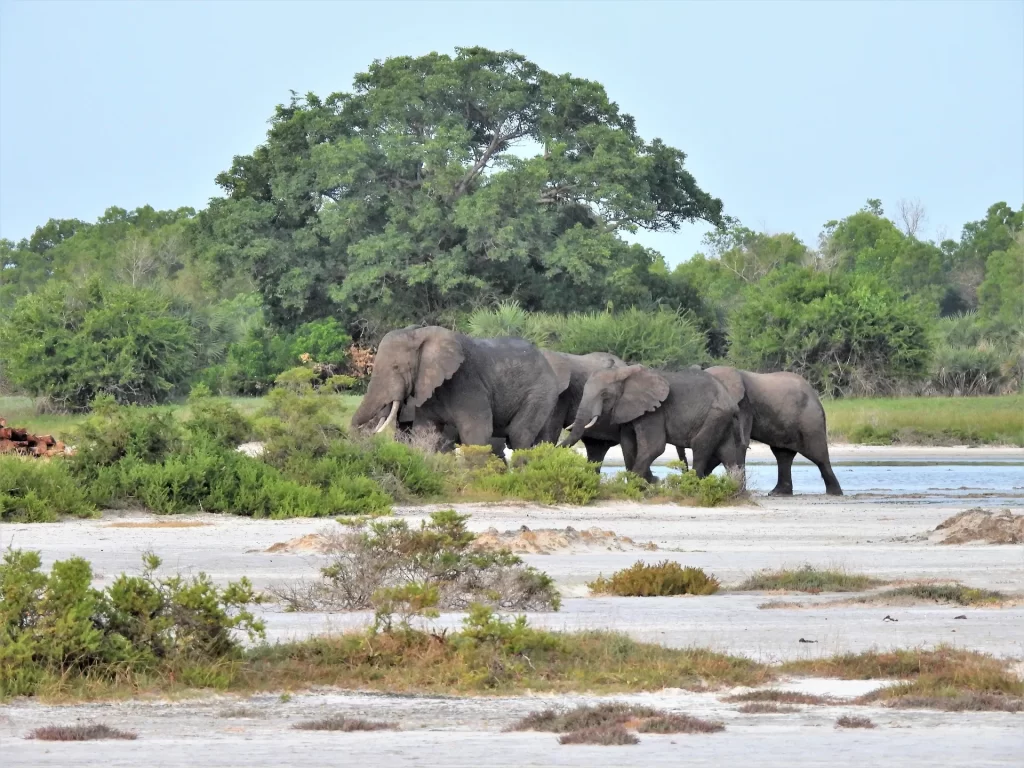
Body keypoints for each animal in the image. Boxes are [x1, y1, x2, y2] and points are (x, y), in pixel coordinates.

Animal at [350, 325, 561, 450]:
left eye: (396, 367)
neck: (419, 333)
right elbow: (425, 432)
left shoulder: (466, 381)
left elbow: (476, 431)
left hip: (540, 392)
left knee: (518, 435)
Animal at [561, 364, 745, 483]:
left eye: (604, 394)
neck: (625, 373)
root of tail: (731, 401)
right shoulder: (629, 409)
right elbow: (628, 444)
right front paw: (647, 483)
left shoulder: (655, 411)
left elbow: (654, 447)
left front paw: (642, 484)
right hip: (722, 419)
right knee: (727, 453)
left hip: (715, 415)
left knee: (700, 445)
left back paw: (692, 484)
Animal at [708, 368, 843, 499]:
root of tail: (815, 397)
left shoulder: (743, 406)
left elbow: (737, 443)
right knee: (783, 455)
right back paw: (778, 493)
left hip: (810, 420)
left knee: (818, 456)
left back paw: (834, 493)